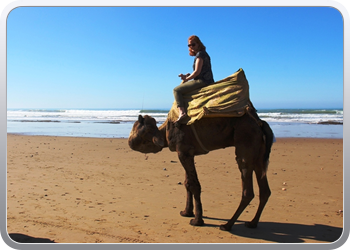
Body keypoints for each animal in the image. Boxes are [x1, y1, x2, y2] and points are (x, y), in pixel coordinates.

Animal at [128, 110, 274, 231]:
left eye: (137, 127)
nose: (129, 141)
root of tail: (260, 124)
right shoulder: (186, 153)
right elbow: (187, 183)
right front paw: (186, 212)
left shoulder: (184, 151)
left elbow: (194, 185)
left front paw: (197, 220)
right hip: (259, 154)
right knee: (264, 189)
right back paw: (252, 223)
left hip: (246, 141)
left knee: (247, 187)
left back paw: (227, 225)